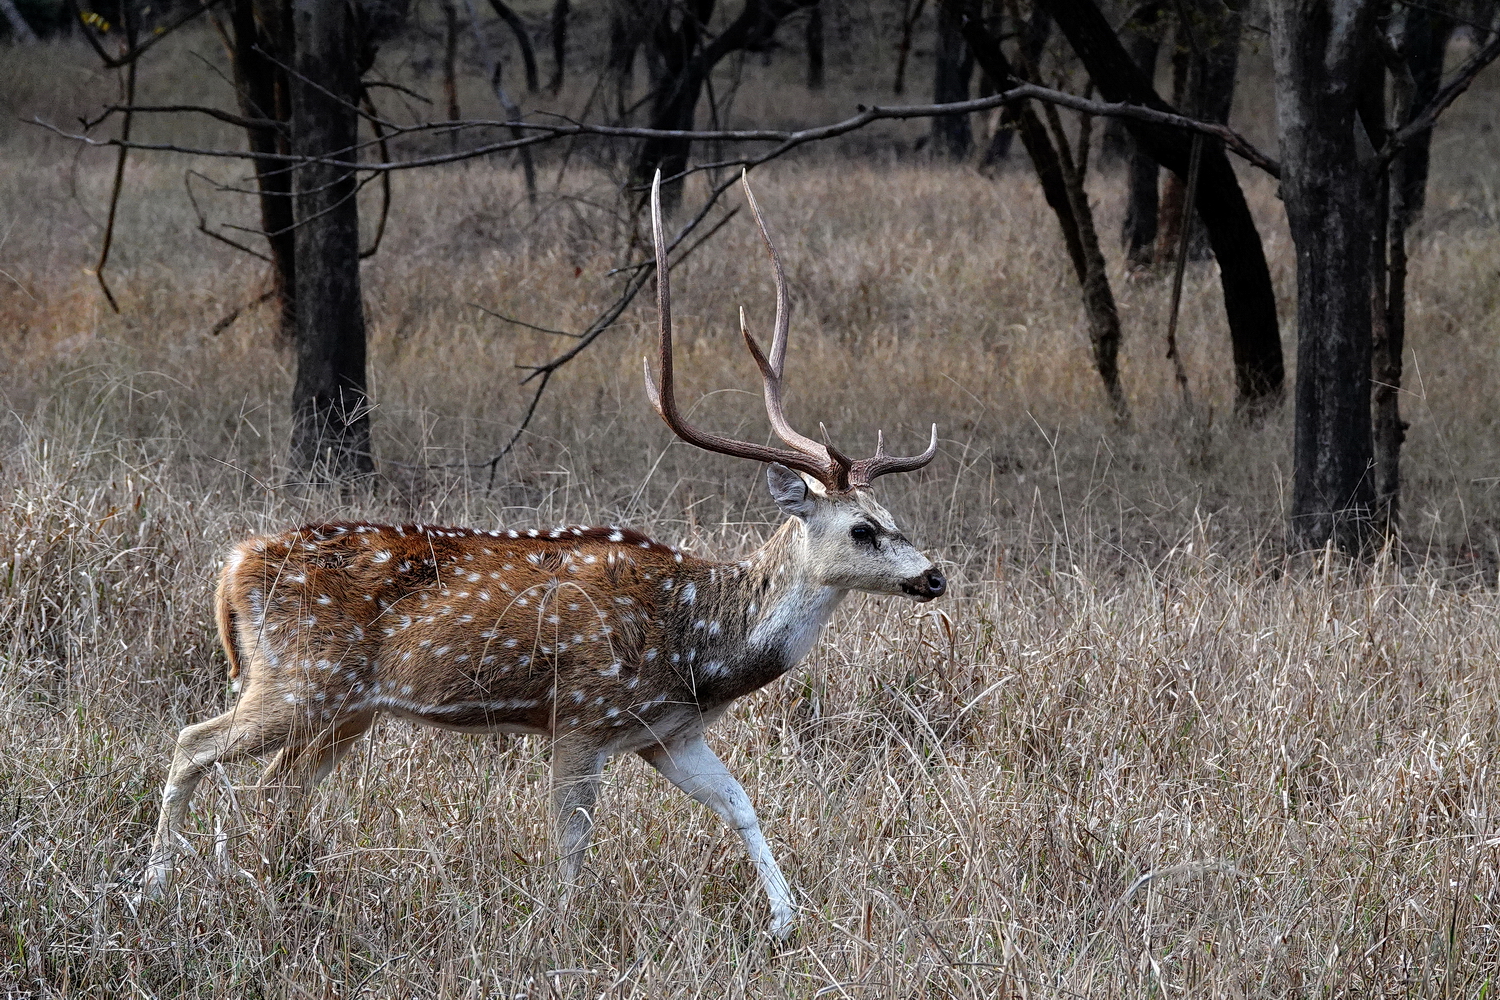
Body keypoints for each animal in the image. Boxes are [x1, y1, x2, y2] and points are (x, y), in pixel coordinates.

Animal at [152, 172, 948, 941]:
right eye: (862, 530)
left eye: (894, 517)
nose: (934, 576)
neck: (700, 647)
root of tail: (234, 566)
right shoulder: (583, 715)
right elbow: (571, 840)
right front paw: (562, 931)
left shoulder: (666, 732)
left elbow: (739, 803)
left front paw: (786, 922)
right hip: (298, 679)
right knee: (194, 742)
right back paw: (157, 888)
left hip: (345, 706)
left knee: (277, 785)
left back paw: (281, 882)